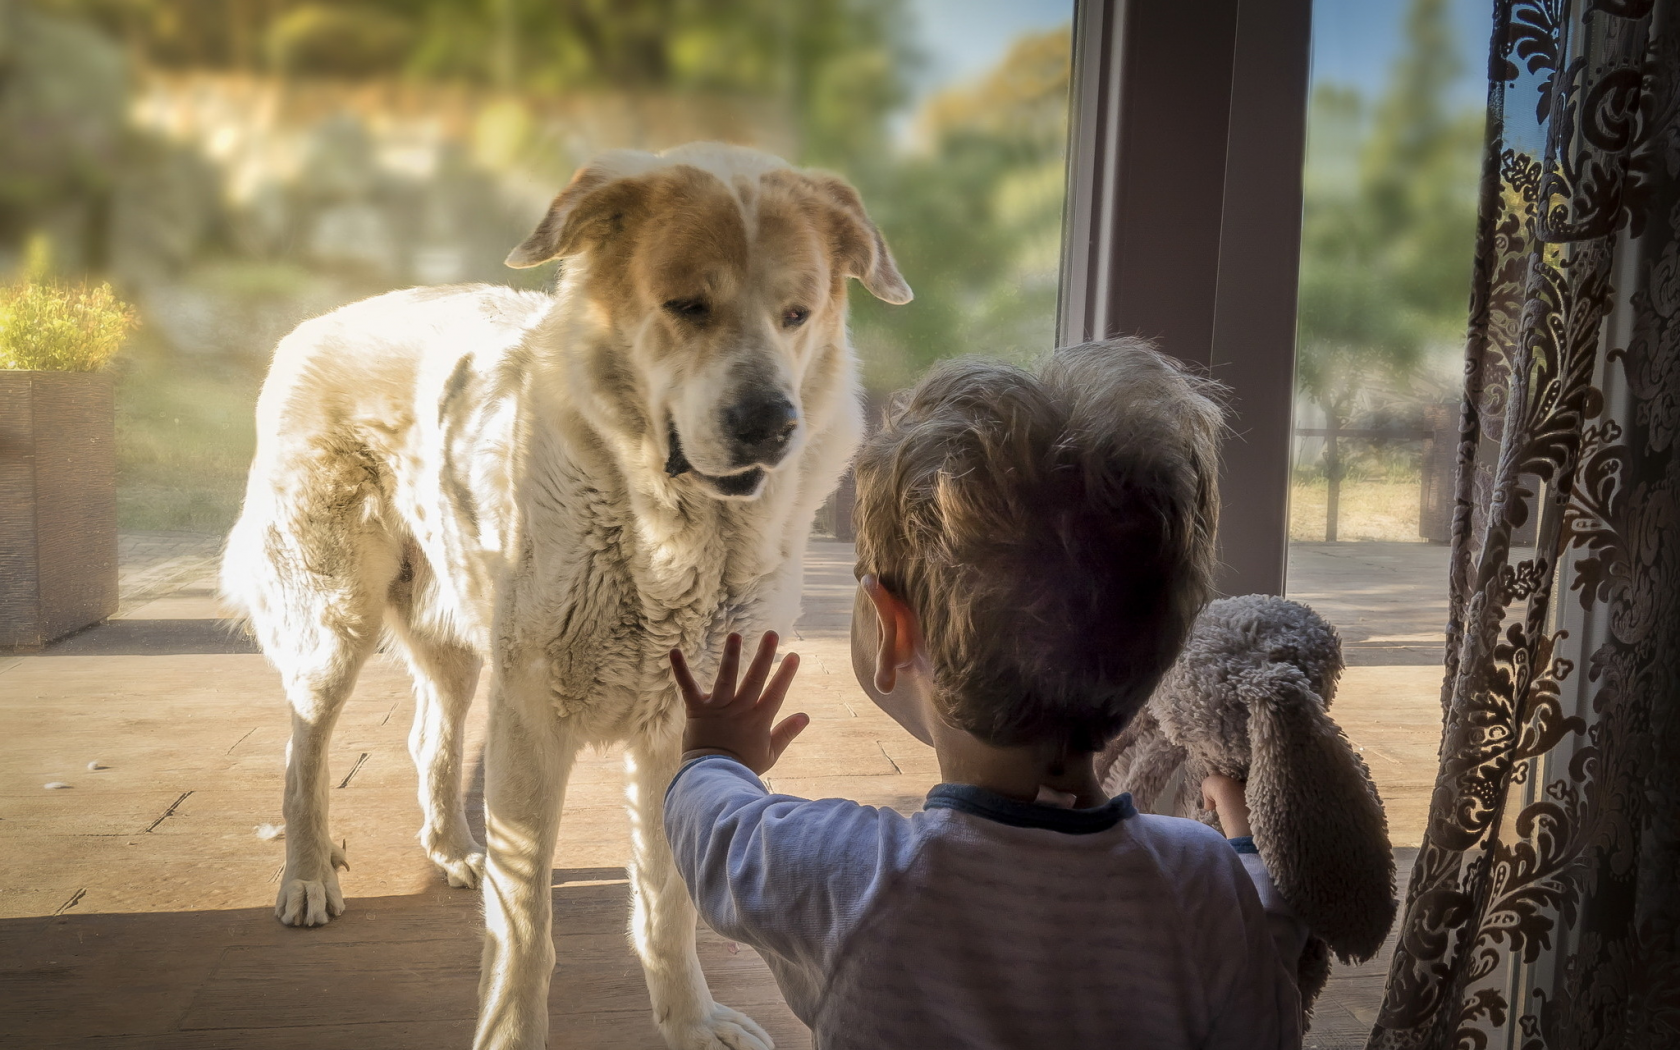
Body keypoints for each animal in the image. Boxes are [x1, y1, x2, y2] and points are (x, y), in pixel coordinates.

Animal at [221, 141, 913, 1048]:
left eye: (797, 314)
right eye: (686, 305)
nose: (771, 423)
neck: (664, 525)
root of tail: (312, 326)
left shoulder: (677, 724)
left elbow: (668, 905)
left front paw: (690, 1022)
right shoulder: (531, 720)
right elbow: (524, 927)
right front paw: (511, 1033)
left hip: (457, 639)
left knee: (431, 737)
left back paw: (450, 848)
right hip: (337, 624)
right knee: (303, 753)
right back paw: (307, 876)